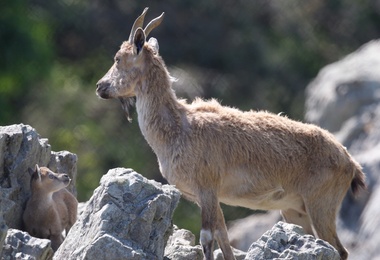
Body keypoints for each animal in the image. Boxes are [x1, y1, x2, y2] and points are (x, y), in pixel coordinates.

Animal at [95, 7, 366, 258]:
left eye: (118, 58)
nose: (100, 86)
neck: (178, 128)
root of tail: (350, 162)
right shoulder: (207, 197)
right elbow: (223, 236)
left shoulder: (207, 188)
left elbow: (207, 238)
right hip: (295, 210)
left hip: (321, 204)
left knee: (339, 250)